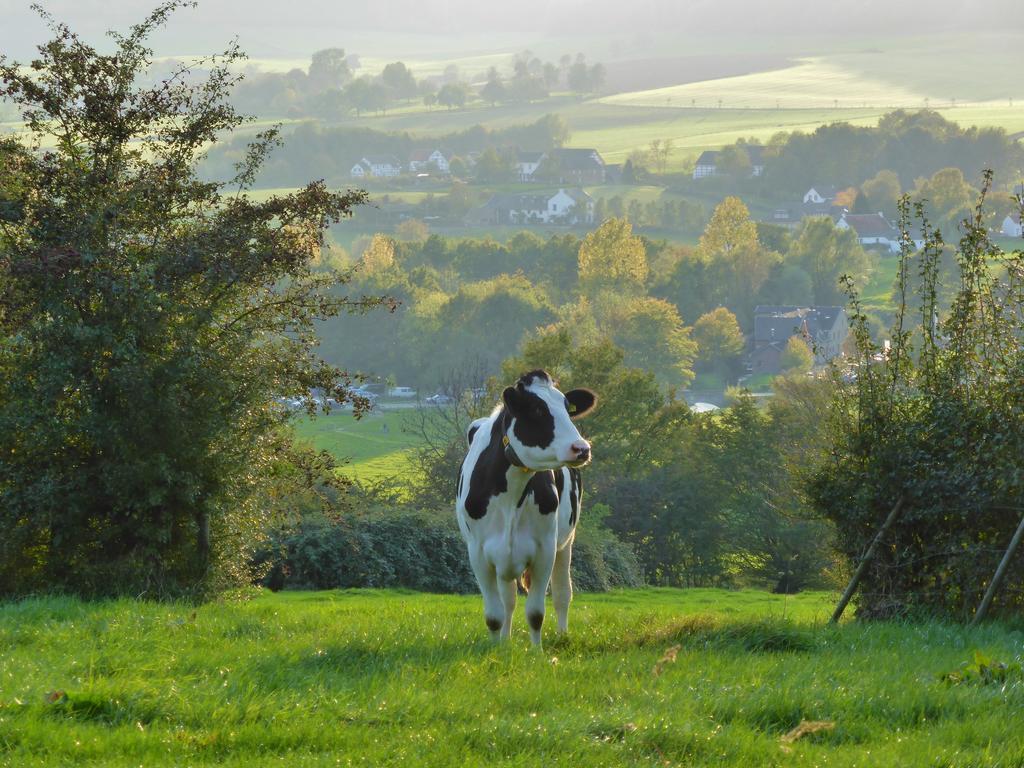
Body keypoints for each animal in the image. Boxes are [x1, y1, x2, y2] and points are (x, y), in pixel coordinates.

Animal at [454, 370, 598, 647]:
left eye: (567, 408)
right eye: (537, 410)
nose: (582, 448)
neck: (511, 496)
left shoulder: (544, 550)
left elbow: (535, 613)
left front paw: (537, 651)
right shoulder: (478, 554)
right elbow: (494, 615)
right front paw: (497, 648)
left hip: (566, 541)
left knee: (562, 593)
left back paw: (562, 635)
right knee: (508, 601)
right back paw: (506, 640)